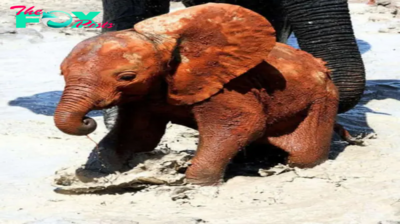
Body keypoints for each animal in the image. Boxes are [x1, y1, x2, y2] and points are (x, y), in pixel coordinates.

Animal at [54, 3, 340, 186]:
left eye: (127, 77)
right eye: (62, 73)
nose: (87, 121)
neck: (163, 44)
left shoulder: (224, 84)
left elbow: (241, 123)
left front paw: (194, 183)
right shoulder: (146, 95)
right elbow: (138, 134)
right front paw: (94, 173)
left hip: (323, 99)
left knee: (303, 155)